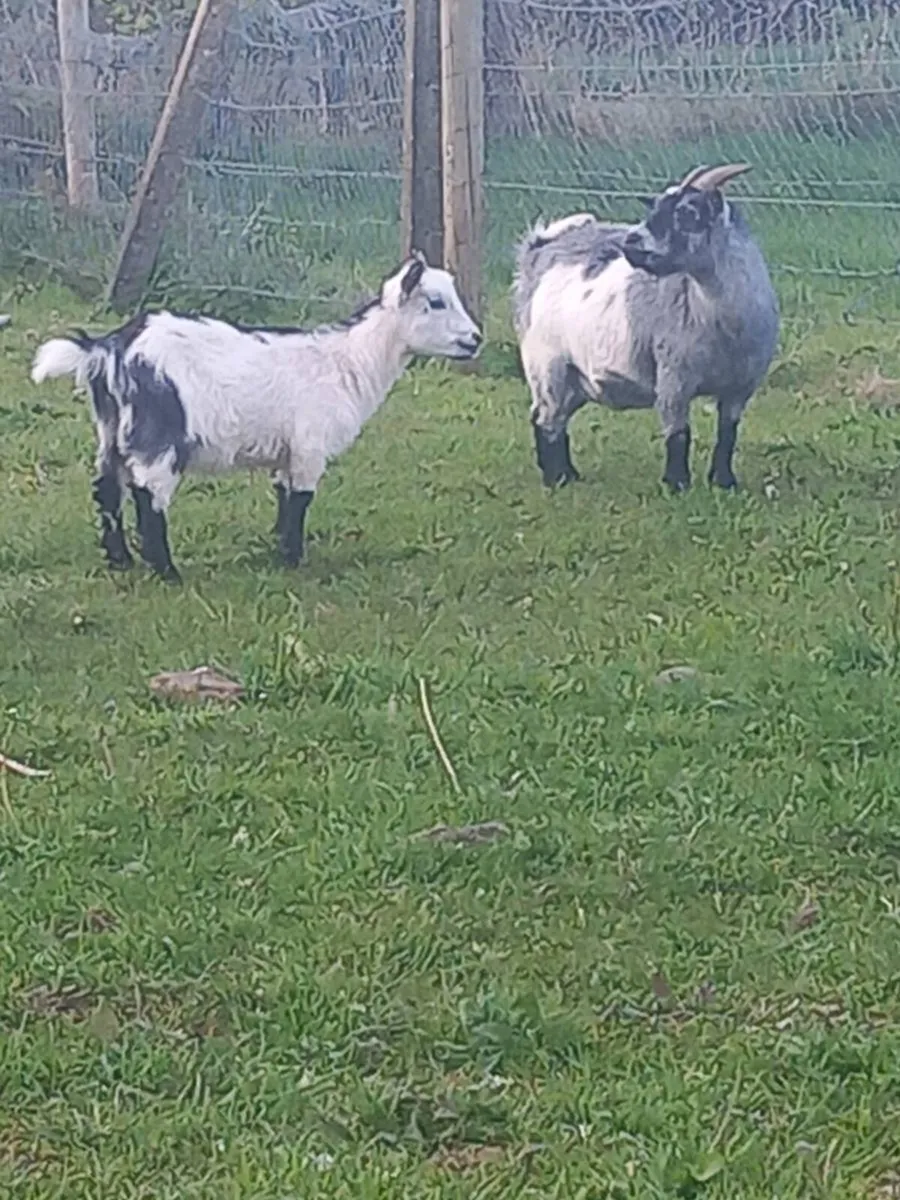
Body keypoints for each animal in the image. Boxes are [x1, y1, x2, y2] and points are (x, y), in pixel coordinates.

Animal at [30, 252, 482, 583]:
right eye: (435, 302)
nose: (476, 339)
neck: (347, 360)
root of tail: (109, 348)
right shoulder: (309, 444)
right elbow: (300, 500)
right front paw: (295, 561)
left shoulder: (287, 450)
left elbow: (283, 497)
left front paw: (280, 552)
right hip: (156, 433)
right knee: (148, 495)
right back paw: (167, 572)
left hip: (111, 429)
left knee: (107, 487)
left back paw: (120, 560)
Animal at [512, 163, 780, 492]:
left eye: (687, 212)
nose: (630, 242)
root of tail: (537, 250)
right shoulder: (673, 378)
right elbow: (678, 434)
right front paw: (677, 485)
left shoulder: (740, 387)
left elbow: (727, 434)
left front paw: (724, 482)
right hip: (546, 363)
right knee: (545, 418)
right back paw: (556, 479)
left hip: (576, 377)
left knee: (554, 416)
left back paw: (569, 475)